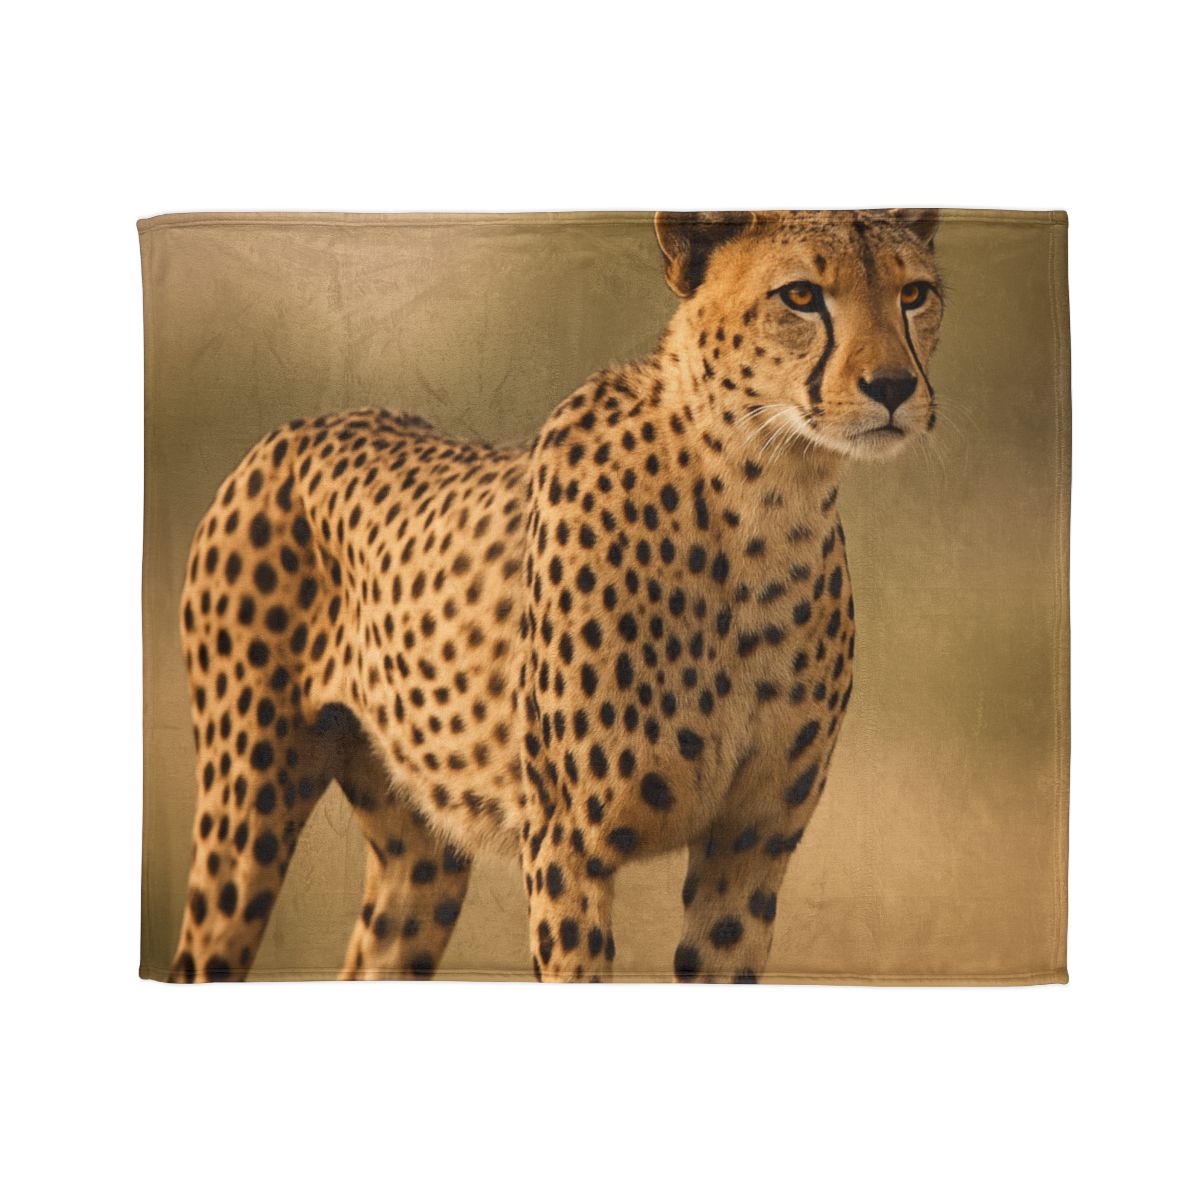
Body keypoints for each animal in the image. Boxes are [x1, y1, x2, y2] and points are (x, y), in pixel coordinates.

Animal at [168, 208, 943, 983]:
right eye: (801, 296)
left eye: (914, 294)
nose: (893, 387)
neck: (766, 498)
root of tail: (299, 426)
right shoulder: (568, 844)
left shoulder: (750, 844)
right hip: (246, 809)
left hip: (420, 853)